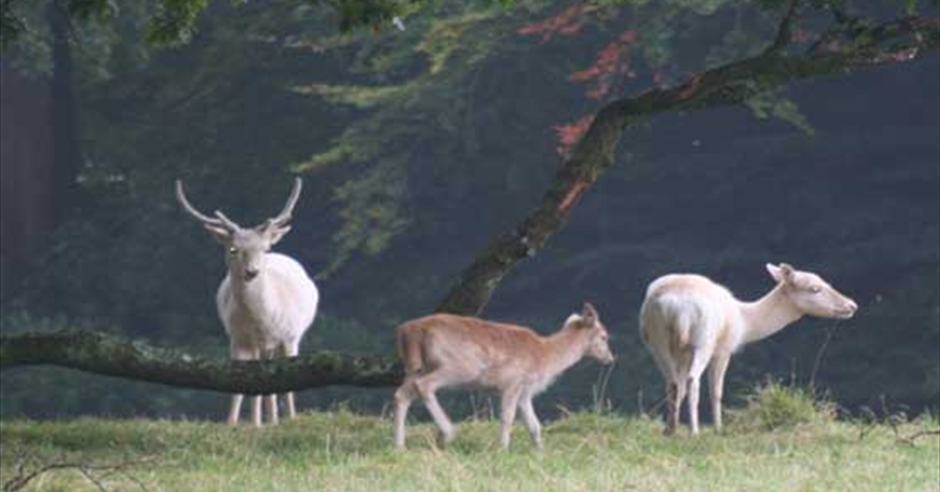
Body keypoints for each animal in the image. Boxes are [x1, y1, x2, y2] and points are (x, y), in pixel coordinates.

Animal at [176, 178, 320, 426]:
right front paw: (234, 423)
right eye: (234, 249)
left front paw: (286, 420)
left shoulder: (285, 337)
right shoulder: (238, 339)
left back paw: (278, 420)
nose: (252, 272)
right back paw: (265, 420)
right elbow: (239, 387)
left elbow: (284, 387)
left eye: (265, 248)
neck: (262, 321)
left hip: (284, 342)